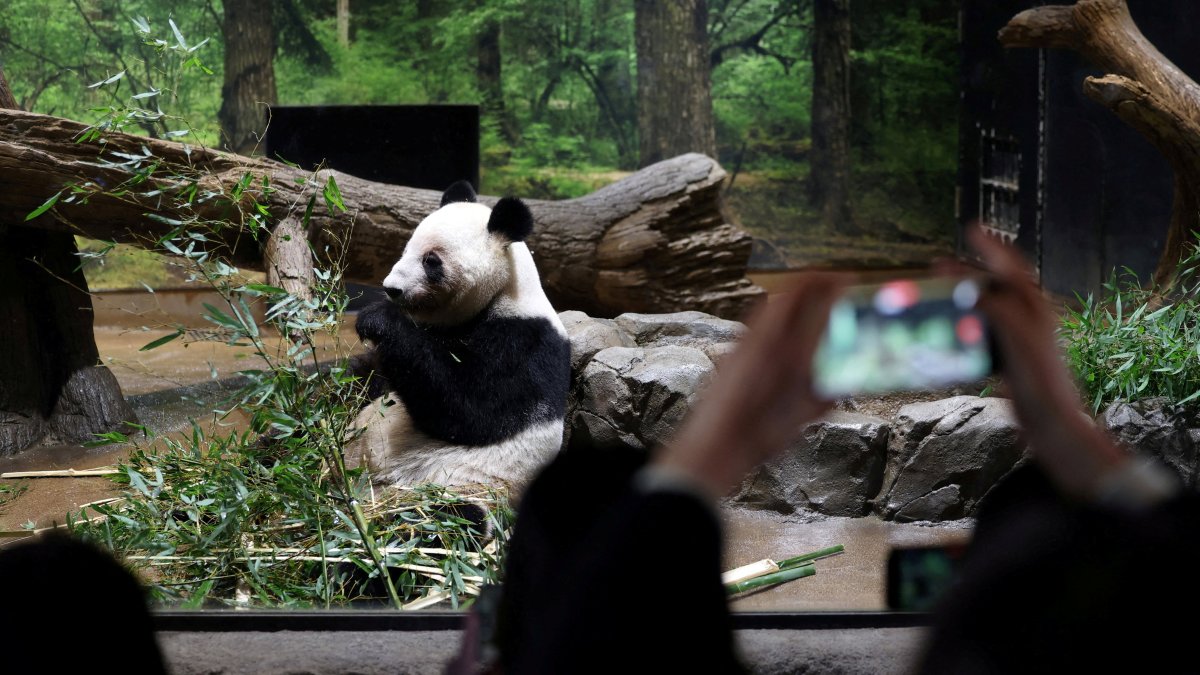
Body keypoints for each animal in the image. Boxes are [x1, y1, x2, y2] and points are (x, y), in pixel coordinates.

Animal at [346, 181, 571, 492]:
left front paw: (377, 319)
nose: (392, 288)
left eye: (431, 260)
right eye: (406, 249)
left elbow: (471, 410)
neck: (502, 292)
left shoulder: (523, 341)